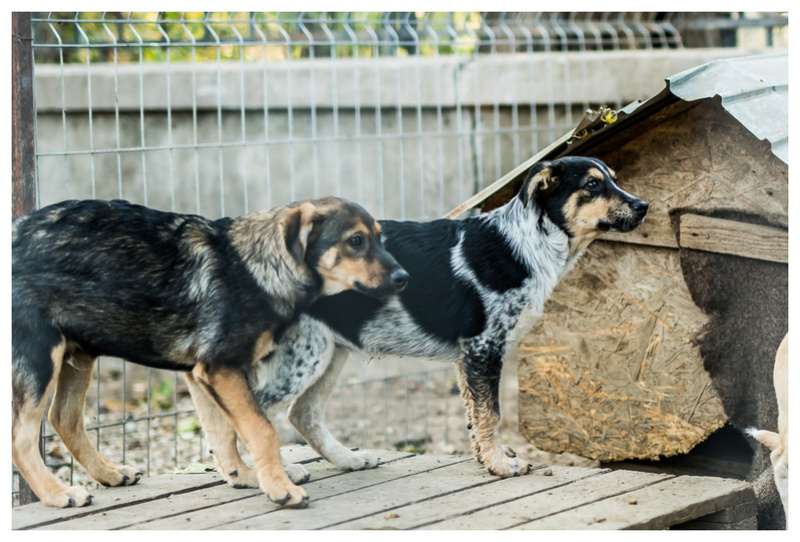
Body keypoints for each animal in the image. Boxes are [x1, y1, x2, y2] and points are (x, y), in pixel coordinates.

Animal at [12, 199, 410, 510]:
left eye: (378, 237)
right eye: (355, 241)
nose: (404, 278)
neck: (259, 266)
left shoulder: (203, 371)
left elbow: (224, 432)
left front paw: (244, 476)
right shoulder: (221, 368)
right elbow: (261, 429)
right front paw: (279, 488)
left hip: (79, 352)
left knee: (64, 417)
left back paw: (108, 473)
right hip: (40, 354)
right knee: (22, 438)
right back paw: (56, 494)